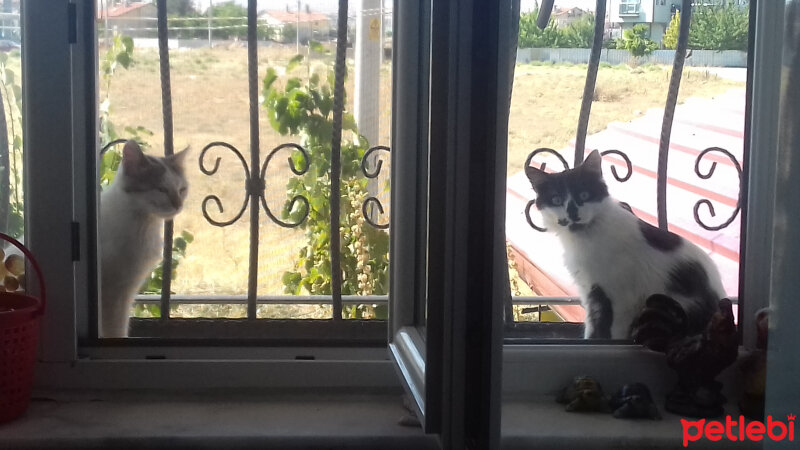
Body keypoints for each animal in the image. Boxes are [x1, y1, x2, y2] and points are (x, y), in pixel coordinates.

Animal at [98, 141, 188, 338]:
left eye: (182, 189)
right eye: (161, 189)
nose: (178, 204)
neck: (146, 224)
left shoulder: (126, 292)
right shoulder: (112, 294)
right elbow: (114, 330)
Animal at [524, 149, 724, 340]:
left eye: (584, 194)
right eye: (556, 199)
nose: (572, 212)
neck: (584, 237)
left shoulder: (620, 299)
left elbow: (613, 331)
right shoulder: (591, 291)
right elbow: (592, 327)